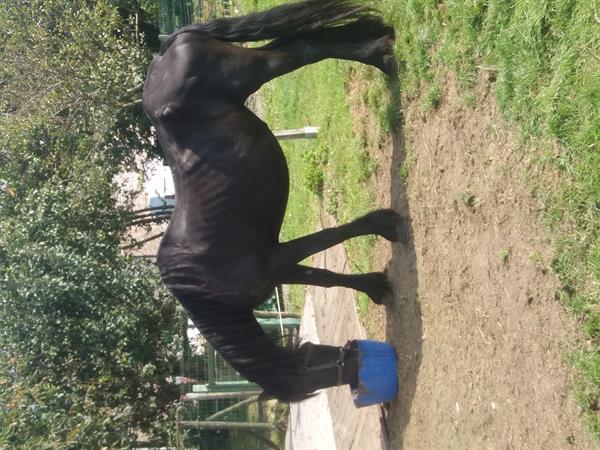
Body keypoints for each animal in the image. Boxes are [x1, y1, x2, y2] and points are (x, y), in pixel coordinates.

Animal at [142, 0, 400, 400]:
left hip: (253, 70)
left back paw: (379, 56)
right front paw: (375, 287)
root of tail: (165, 49)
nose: (360, 374)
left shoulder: (278, 257)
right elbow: (325, 277)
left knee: (301, 49)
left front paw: (386, 225)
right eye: (320, 373)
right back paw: (378, 45)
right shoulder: (279, 267)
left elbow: (327, 239)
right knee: (299, 42)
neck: (207, 288)